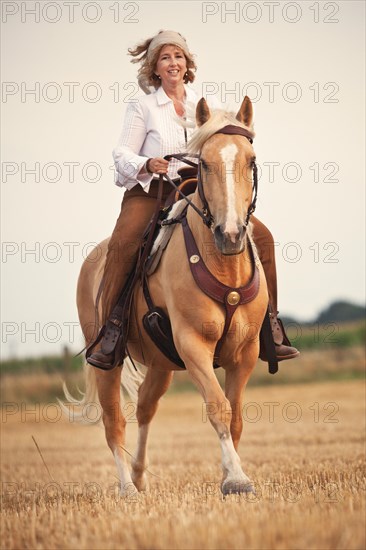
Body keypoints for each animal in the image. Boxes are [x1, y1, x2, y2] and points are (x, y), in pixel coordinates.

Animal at [70, 97, 268, 498]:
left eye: (250, 160)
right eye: (204, 162)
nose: (230, 234)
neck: (223, 266)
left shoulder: (245, 352)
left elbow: (236, 417)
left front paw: (232, 473)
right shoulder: (193, 344)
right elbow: (218, 406)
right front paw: (236, 479)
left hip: (161, 363)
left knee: (145, 407)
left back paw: (139, 475)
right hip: (107, 362)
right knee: (114, 421)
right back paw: (127, 488)